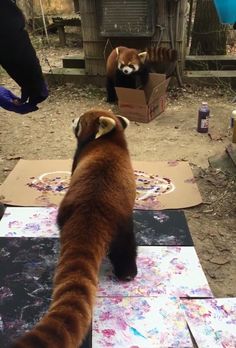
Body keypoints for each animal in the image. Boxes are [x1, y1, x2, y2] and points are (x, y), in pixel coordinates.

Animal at [11, 109, 137, 348]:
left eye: (79, 121)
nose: (71, 119)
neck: (111, 140)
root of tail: (92, 209)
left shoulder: (79, 156)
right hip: (123, 219)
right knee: (126, 247)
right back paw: (128, 274)